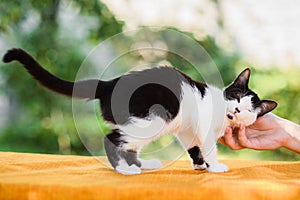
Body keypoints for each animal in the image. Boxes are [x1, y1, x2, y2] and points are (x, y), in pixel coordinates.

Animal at [2, 48, 278, 175]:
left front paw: (200, 165)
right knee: (111, 139)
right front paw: (215, 166)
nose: (238, 109)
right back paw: (124, 169)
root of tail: (109, 83)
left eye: (249, 110)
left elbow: (193, 147)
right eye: (237, 96)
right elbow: (208, 146)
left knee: (129, 145)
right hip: (152, 120)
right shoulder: (203, 127)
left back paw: (143, 164)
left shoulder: (187, 129)